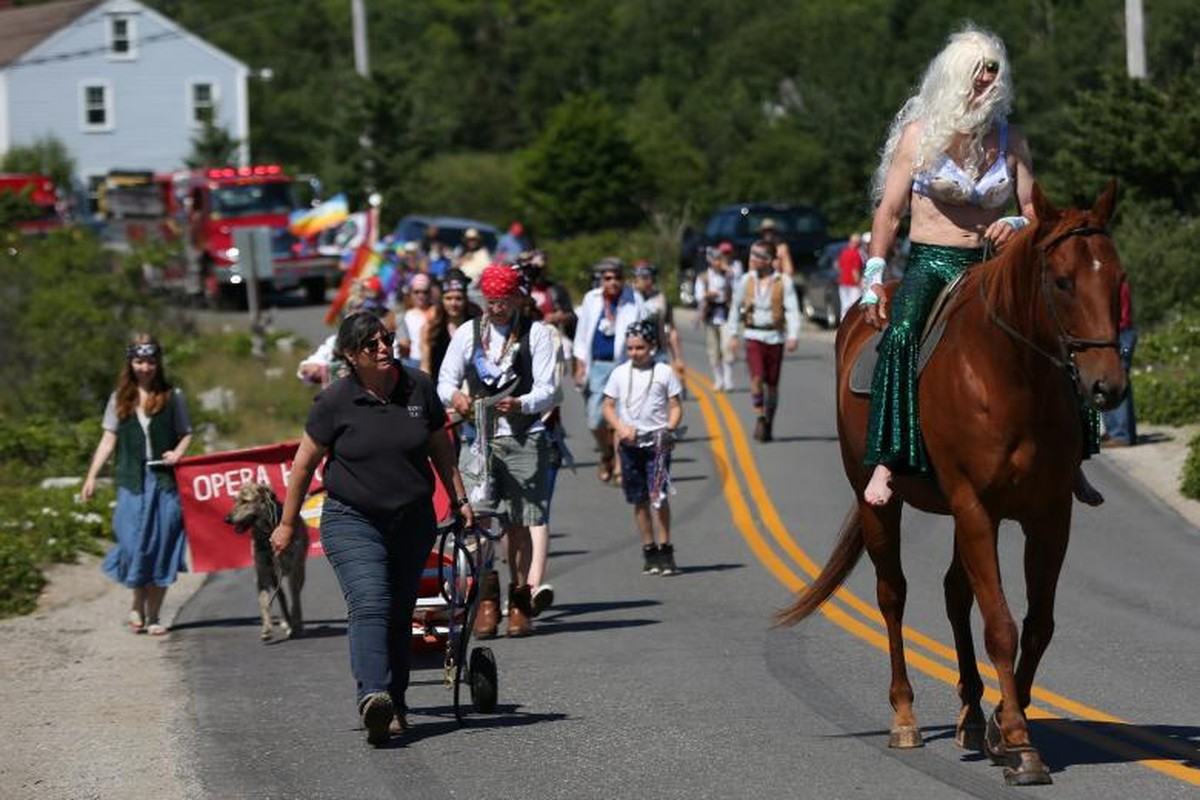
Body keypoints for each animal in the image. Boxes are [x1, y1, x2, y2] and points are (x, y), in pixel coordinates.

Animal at [225, 479, 307, 642]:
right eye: (234, 500)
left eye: (245, 501)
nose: (227, 519)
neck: (268, 532)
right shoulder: (262, 573)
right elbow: (264, 603)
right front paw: (267, 628)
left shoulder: (294, 571)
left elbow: (295, 599)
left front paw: (296, 624)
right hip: (273, 576)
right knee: (281, 596)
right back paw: (286, 621)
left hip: (298, 570)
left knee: (294, 596)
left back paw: (292, 622)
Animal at [782, 183, 1128, 786]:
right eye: (1063, 280)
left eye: (1117, 278)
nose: (1107, 386)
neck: (1011, 377)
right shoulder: (975, 507)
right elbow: (1001, 625)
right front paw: (1020, 744)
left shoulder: (1047, 516)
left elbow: (1037, 624)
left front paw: (999, 726)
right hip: (880, 505)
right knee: (893, 594)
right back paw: (905, 717)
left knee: (953, 593)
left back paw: (969, 715)